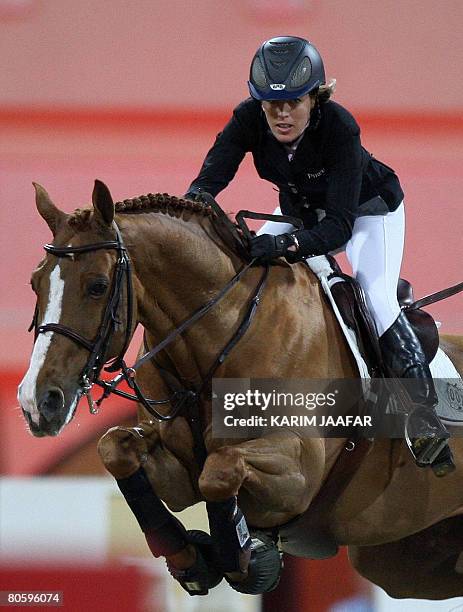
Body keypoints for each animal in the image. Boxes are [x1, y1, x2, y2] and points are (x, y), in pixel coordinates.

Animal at [18, 179, 463, 600]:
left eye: (96, 285)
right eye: (35, 282)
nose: (37, 402)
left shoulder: (299, 472)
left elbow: (221, 470)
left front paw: (245, 561)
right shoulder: (176, 471)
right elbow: (116, 449)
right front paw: (191, 560)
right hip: (403, 563)